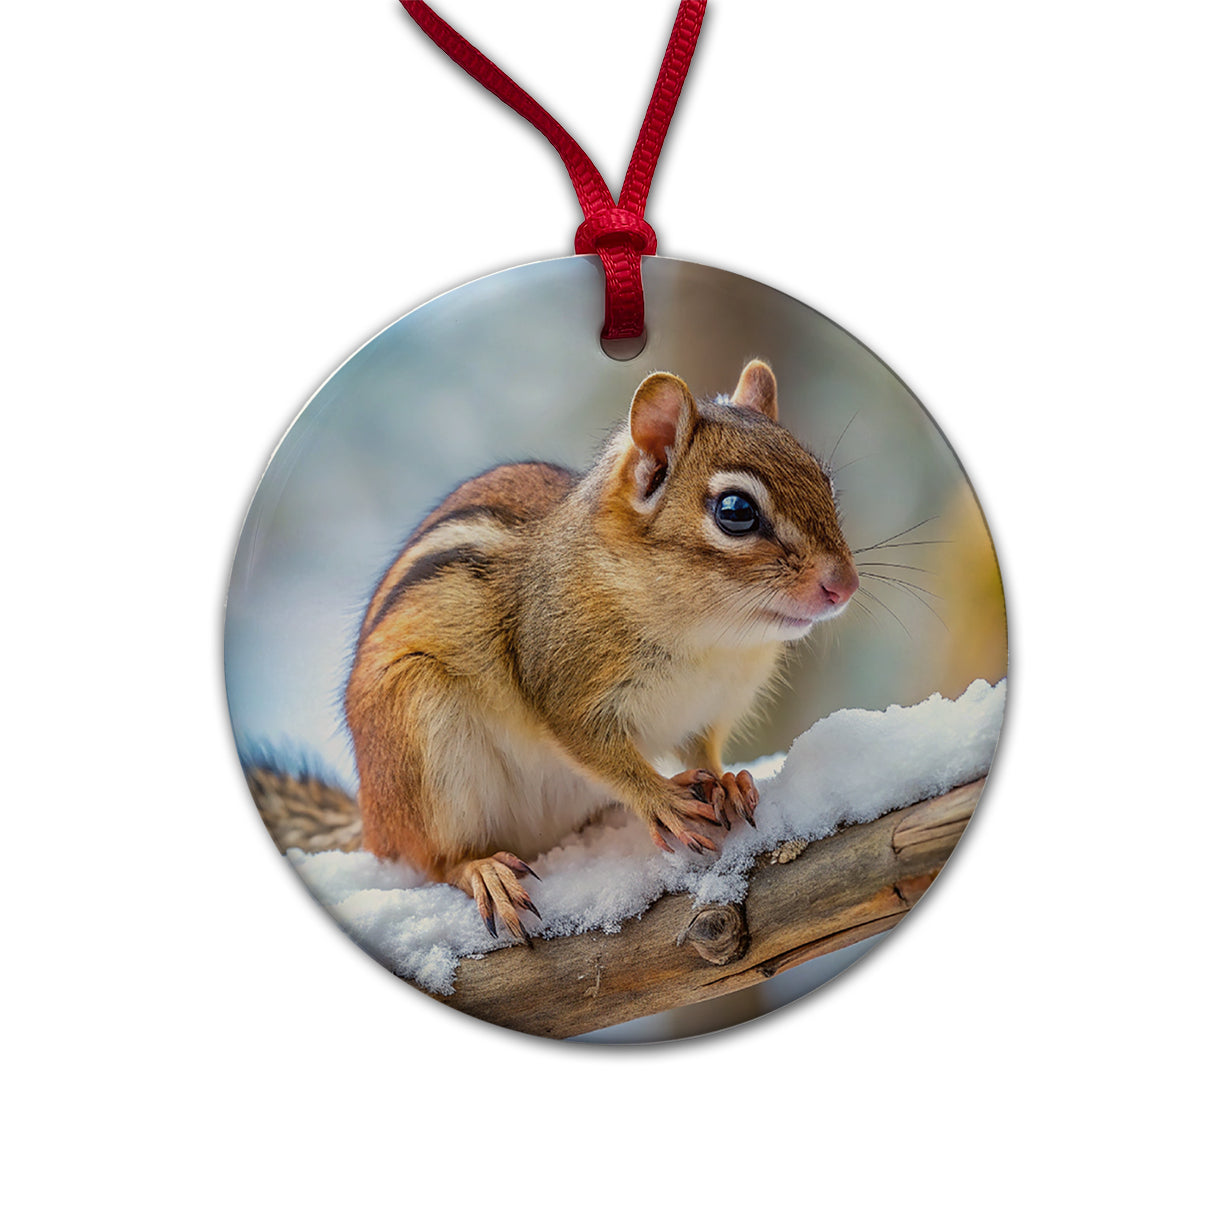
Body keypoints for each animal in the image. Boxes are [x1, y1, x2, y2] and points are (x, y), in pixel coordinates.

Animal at [344, 360, 859, 943]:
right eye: (735, 511)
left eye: (824, 480)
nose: (845, 585)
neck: (712, 637)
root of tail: (373, 821)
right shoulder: (564, 688)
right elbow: (598, 752)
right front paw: (660, 799)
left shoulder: (710, 707)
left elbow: (702, 750)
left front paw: (726, 781)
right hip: (418, 733)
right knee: (432, 859)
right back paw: (482, 870)